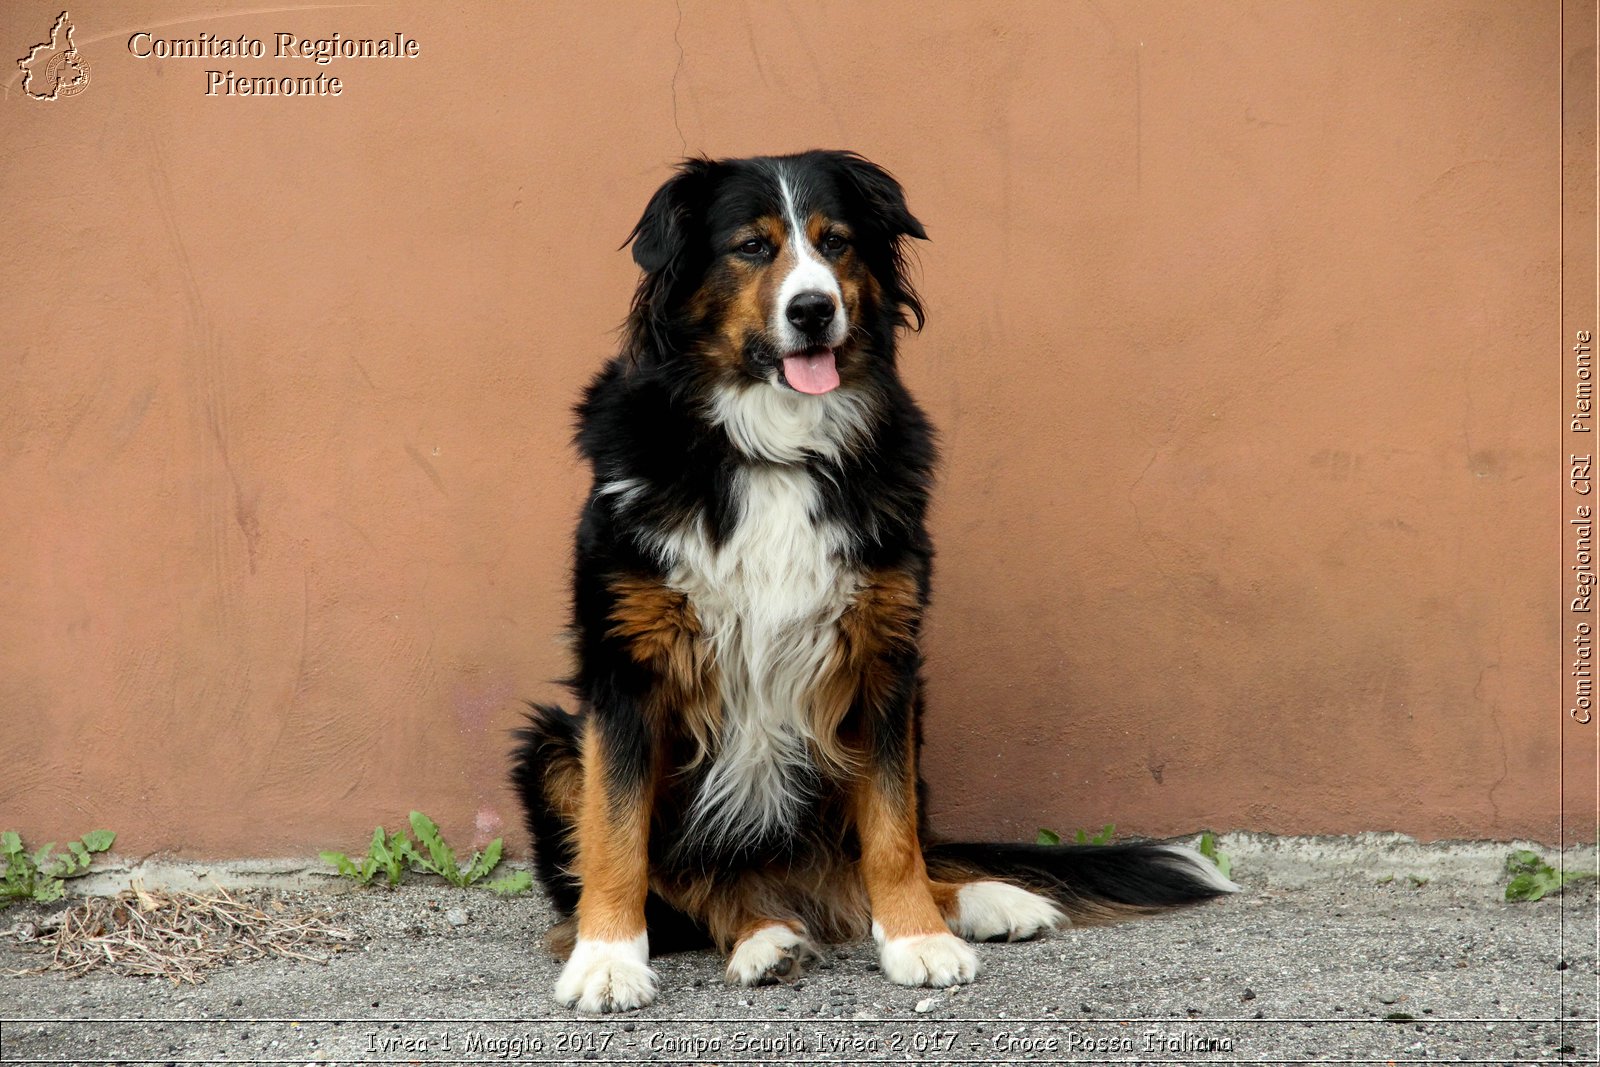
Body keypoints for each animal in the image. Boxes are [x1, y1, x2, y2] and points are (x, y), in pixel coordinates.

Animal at [512, 147, 1235, 1011]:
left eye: (838, 242)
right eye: (751, 247)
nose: (813, 310)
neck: (774, 448)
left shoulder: (881, 657)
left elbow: (891, 833)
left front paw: (918, 936)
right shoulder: (625, 667)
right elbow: (617, 835)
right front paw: (607, 959)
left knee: (866, 862)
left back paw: (987, 899)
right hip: (550, 745)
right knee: (698, 886)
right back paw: (766, 940)